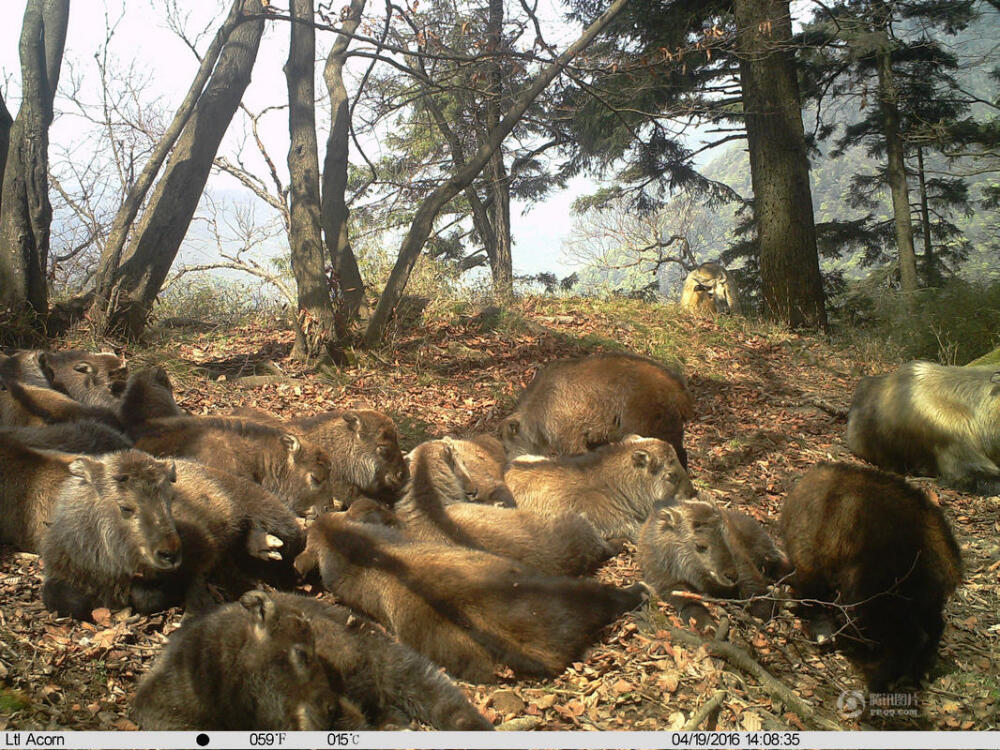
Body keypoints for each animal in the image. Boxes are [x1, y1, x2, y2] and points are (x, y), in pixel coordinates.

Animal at [780, 464, 960, 692]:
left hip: (878, 594)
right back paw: (921, 670)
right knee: (934, 626)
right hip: (920, 599)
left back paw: (884, 678)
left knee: (911, 636)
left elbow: (812, 599)